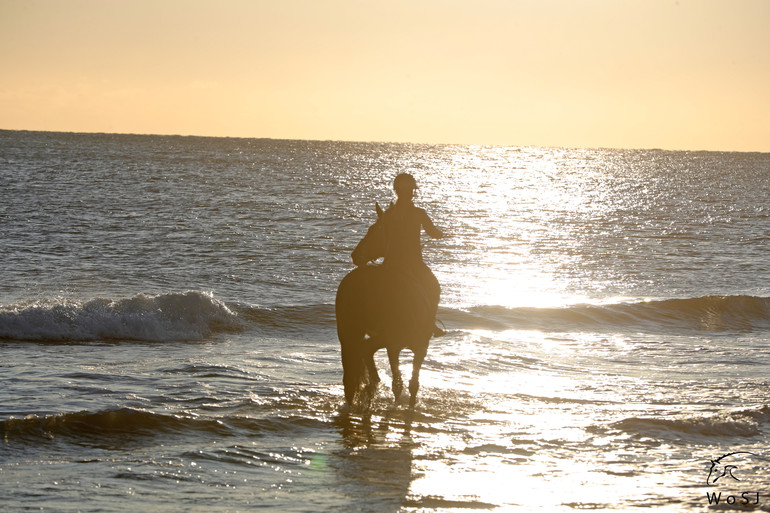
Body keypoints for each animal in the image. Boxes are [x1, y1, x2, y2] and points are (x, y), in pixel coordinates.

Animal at [332, 203, 436, 408]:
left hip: (350, 332)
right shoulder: (410, 344)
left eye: (374, 230)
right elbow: (409, 384)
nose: (356, 256)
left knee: (353, 371)